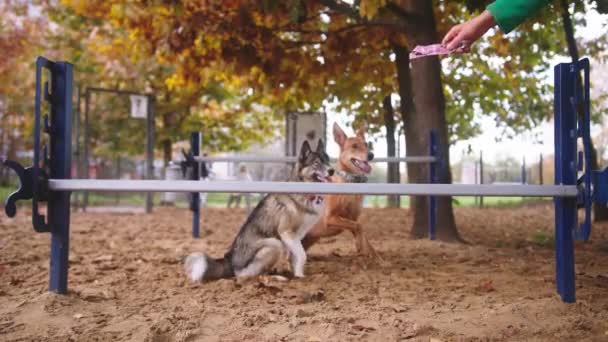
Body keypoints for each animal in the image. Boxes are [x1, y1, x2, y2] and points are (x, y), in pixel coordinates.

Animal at [185, 139, 332, 280]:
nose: (332, 171)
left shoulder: (296, 237)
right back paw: (275, 278)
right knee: (245, 276)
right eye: (316, 163)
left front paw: (298, 275)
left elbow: (295, 258)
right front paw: (299, 277)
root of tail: (230, 261)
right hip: (274, 244)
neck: (304, 192)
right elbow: (302, 255)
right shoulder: (286, 232)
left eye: (327, 160)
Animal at [300, 124, 378, 258]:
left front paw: (371, 254)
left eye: (366, 144)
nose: (371, 155)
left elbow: (362, 232)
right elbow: (359, 226)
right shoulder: (330, 218)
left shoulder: (353, 218)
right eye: (354, 146)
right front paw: (360, 246)